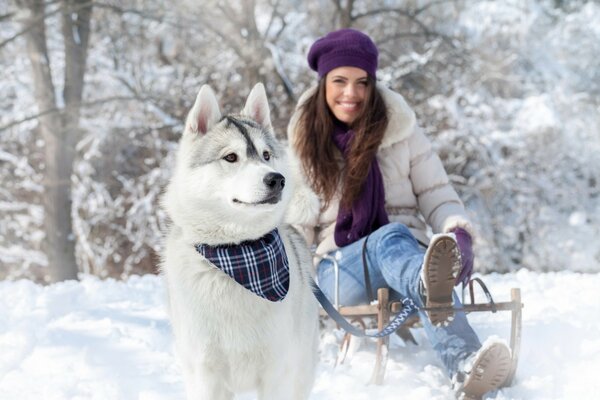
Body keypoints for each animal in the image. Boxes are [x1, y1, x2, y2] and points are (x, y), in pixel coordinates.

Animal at [159, 82, 318, 400]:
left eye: (266, 155)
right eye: (231, 157)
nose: (277, 179)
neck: (237, 253)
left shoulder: (276, 372)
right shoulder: (206, 374)